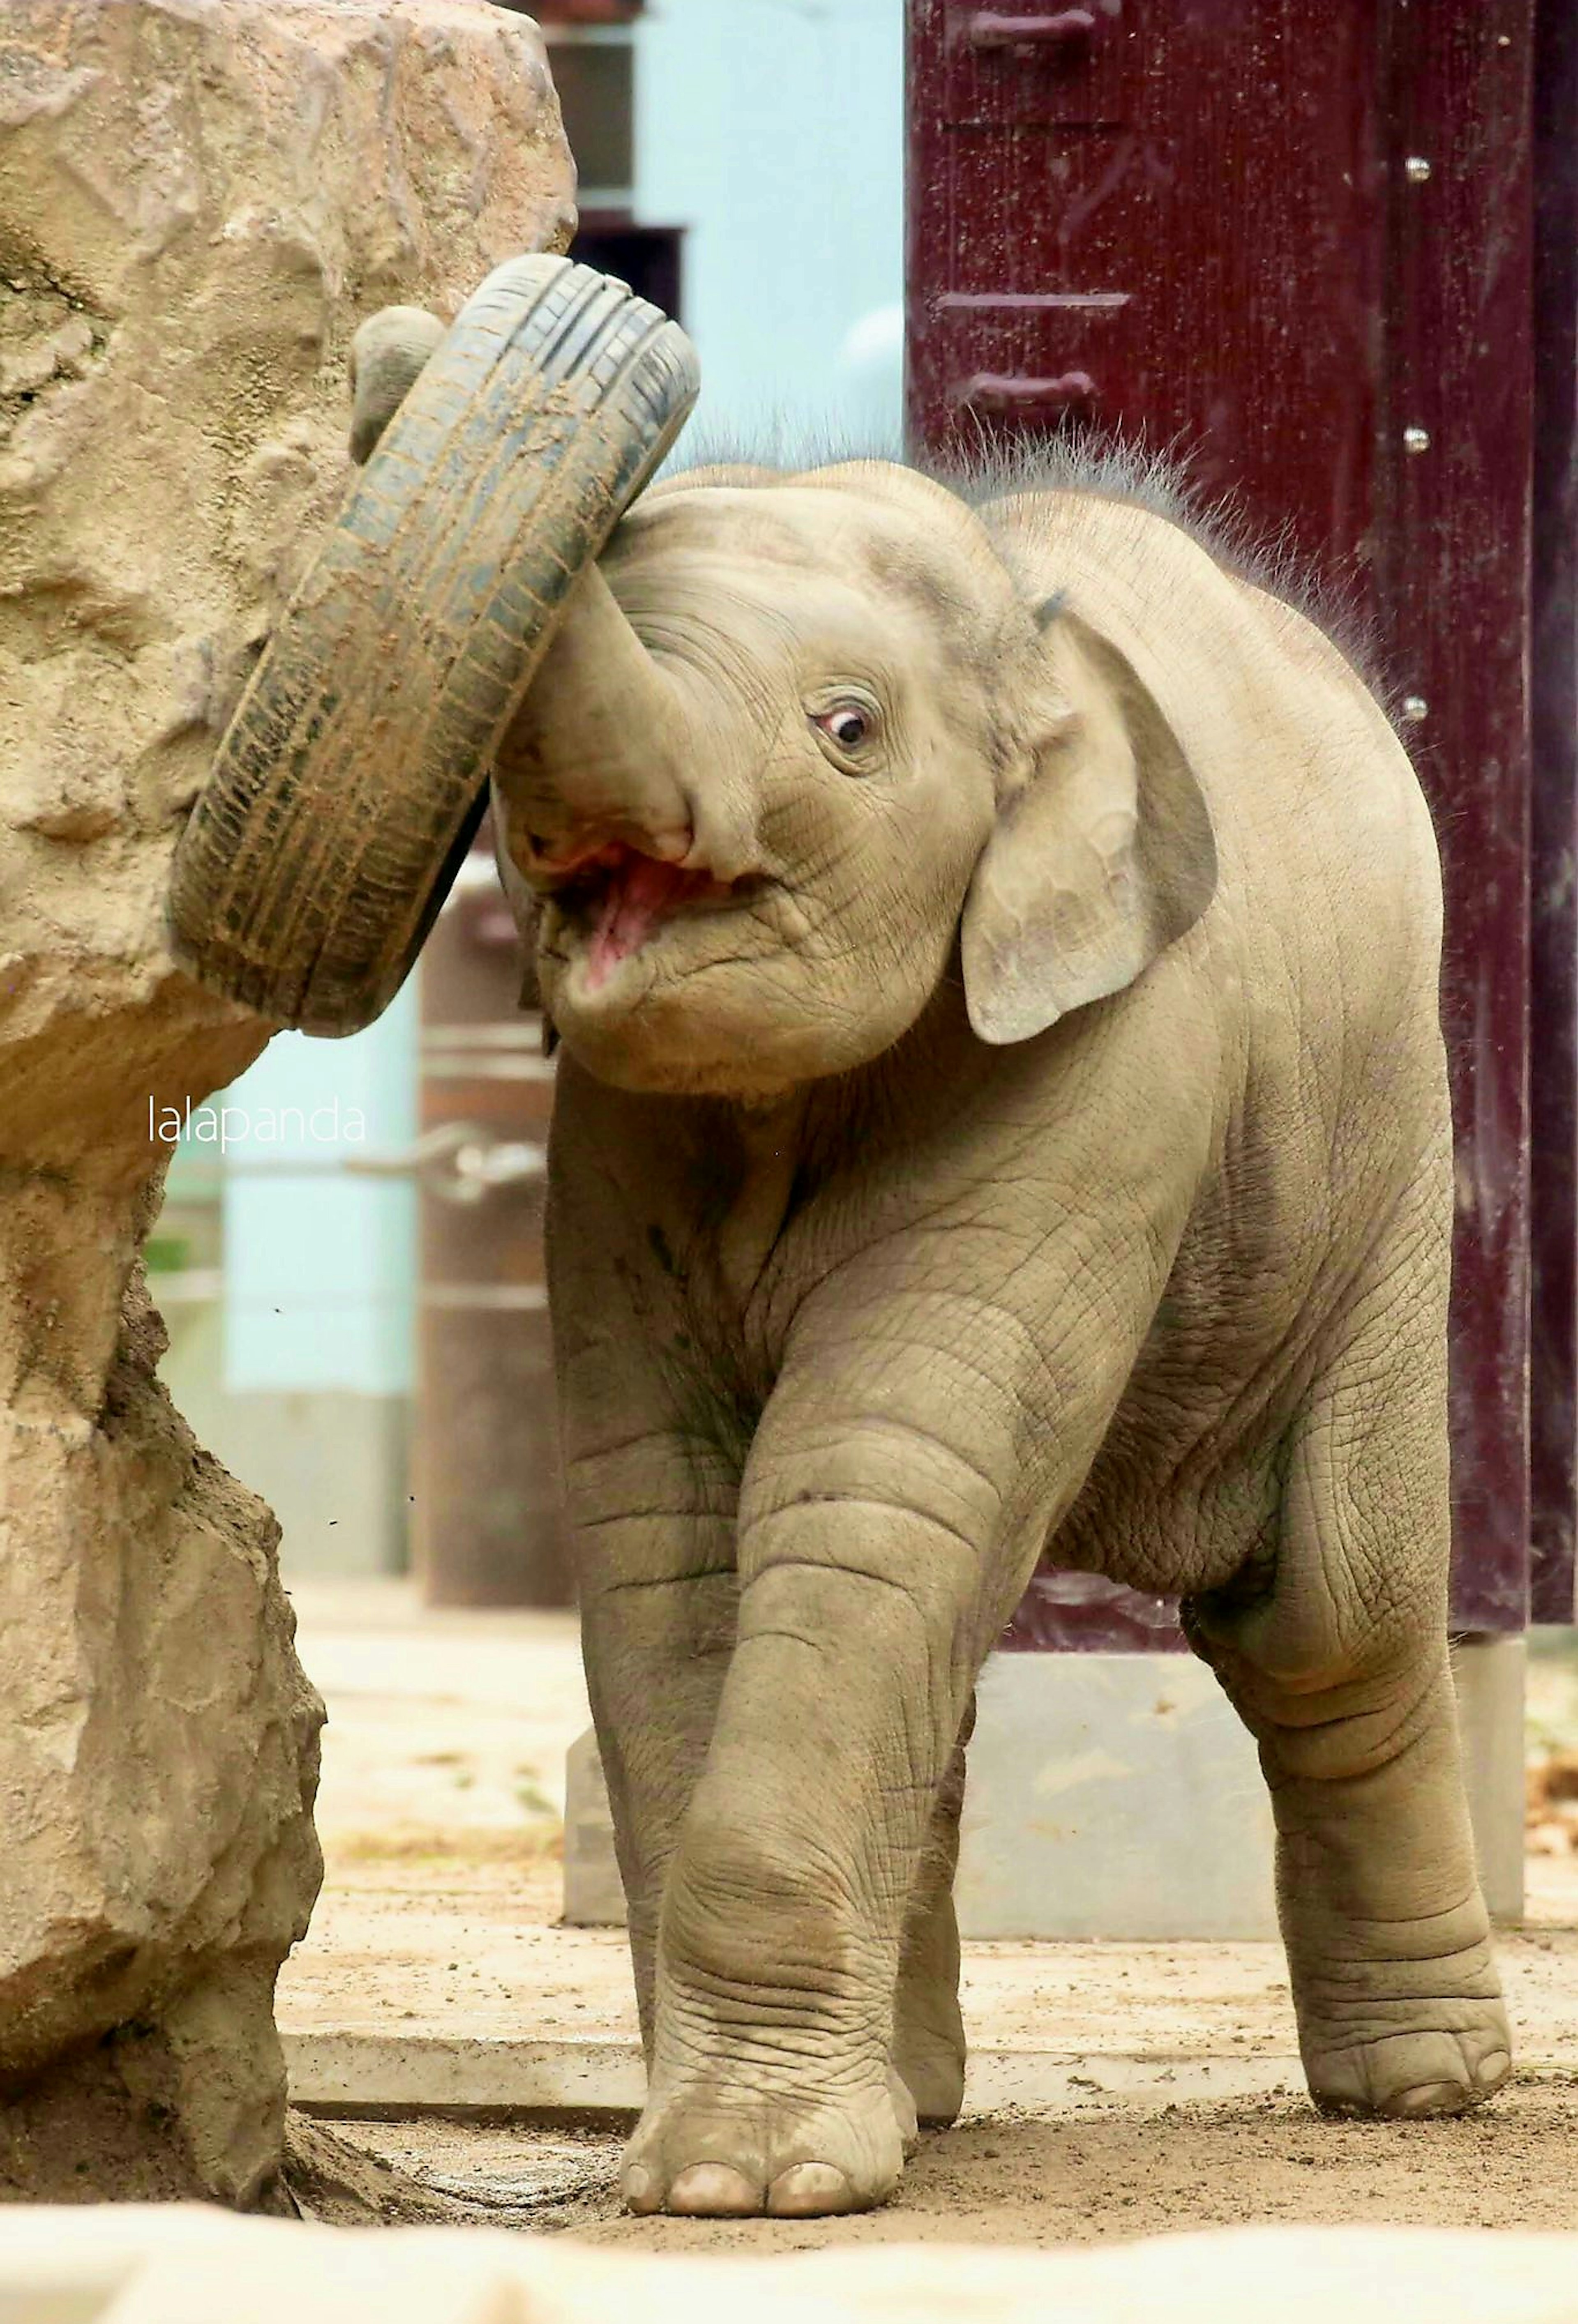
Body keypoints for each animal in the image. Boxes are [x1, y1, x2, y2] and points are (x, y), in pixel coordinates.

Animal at [355, 337, 1506, 2222]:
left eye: (850, 730)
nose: (393, 347)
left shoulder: (1115, 1060)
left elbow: (871, 1480)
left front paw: (745, 2186)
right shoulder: (608, 1137)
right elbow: (675, 1532)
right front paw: (746, 2156)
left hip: (1389, 1159)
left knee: (1329, 1613)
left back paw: (1424, 2092)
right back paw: (933, 2099)